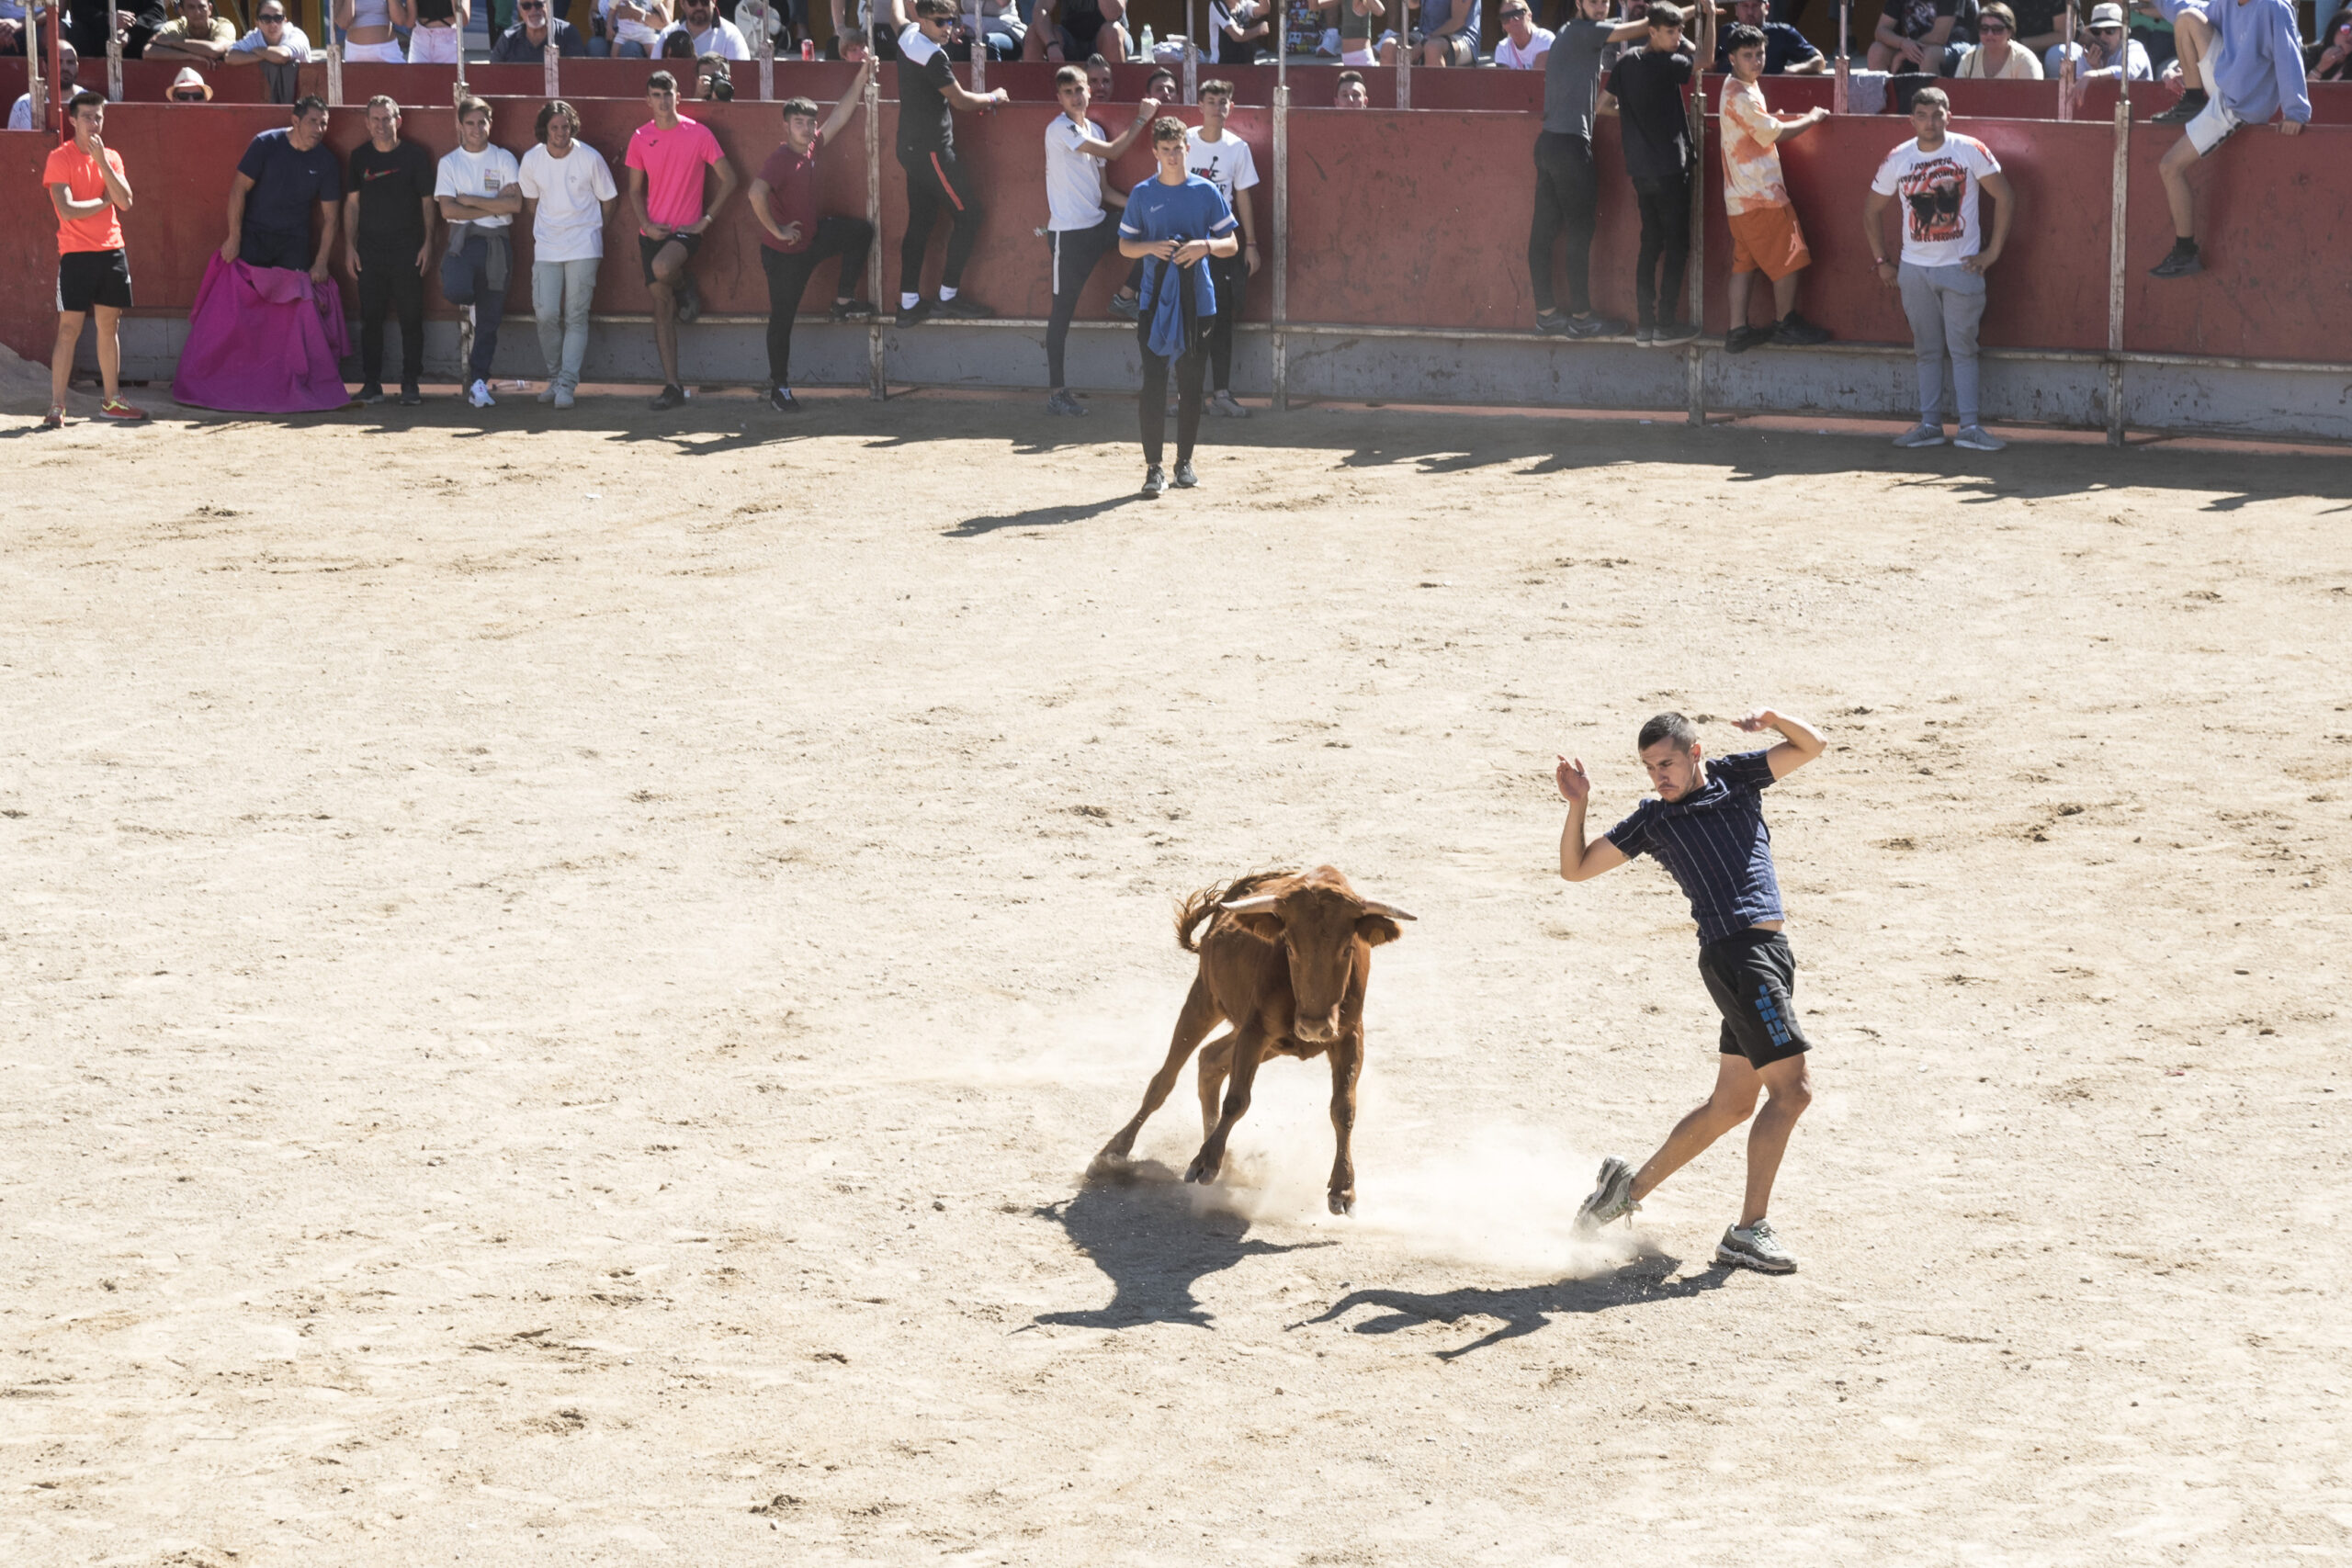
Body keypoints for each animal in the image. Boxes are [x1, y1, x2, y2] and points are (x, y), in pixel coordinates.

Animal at [1086, 869, 1401, 1213]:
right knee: (1165, 1079)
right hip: (1204, 999)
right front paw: (1205, 1163)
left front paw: (1343, 1189)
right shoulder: (1255, 1031)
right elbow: (1237, 1099)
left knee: (1210, 1059)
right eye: (1290, 947)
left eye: (1346, 949)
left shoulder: (1349, 1037)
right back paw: (1112, 1152)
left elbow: (1343, 1108)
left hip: (1268, 1043)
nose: (1314, 1027)